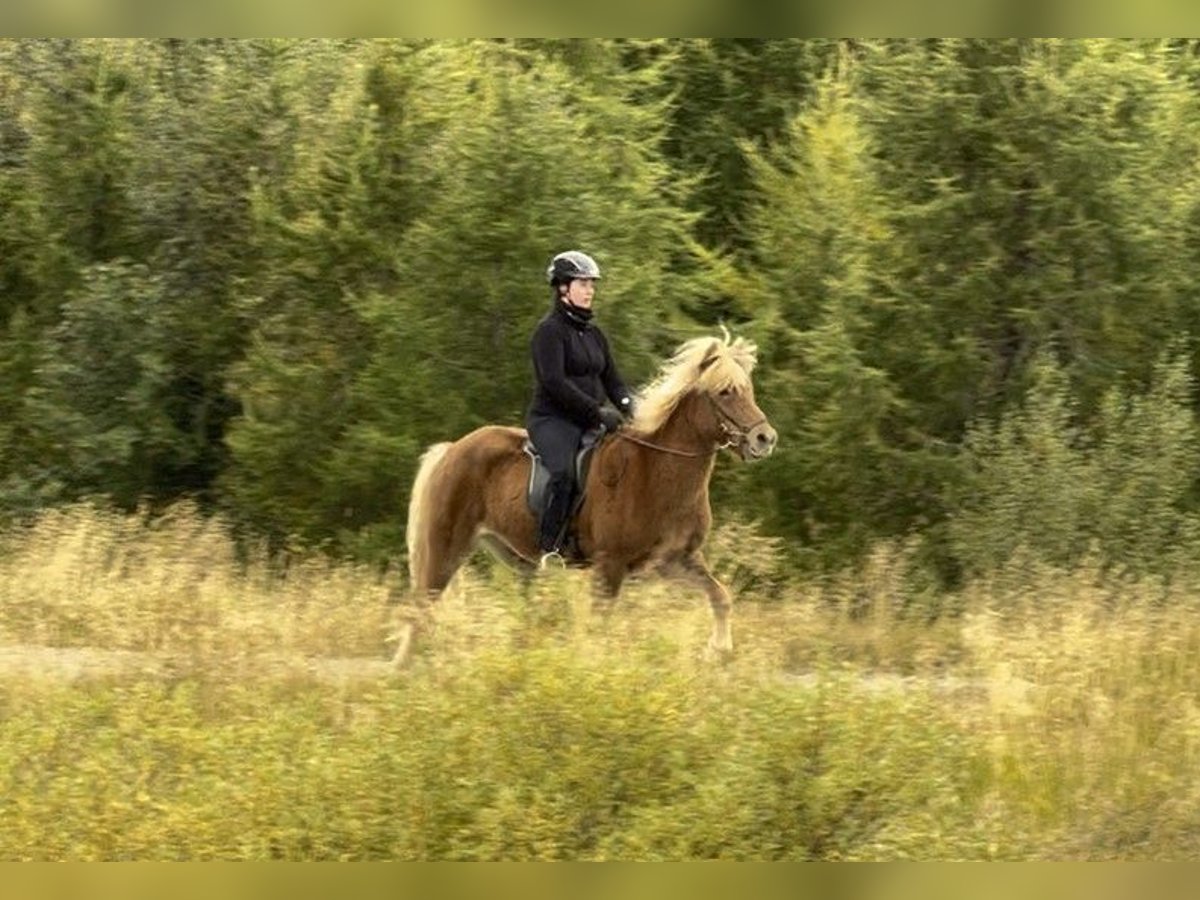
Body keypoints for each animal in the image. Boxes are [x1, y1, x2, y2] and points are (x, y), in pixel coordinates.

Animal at [398, 336, 782, 667]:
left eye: (747, 390)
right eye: (725, 392)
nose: (765, 439)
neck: (656, 471)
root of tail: (452, 450)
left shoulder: (675, 560)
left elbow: (721, 596)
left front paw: (718, 651)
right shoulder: (609, 565)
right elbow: (601, 627)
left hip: (516, 559)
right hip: (447, 548)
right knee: (420, 609)